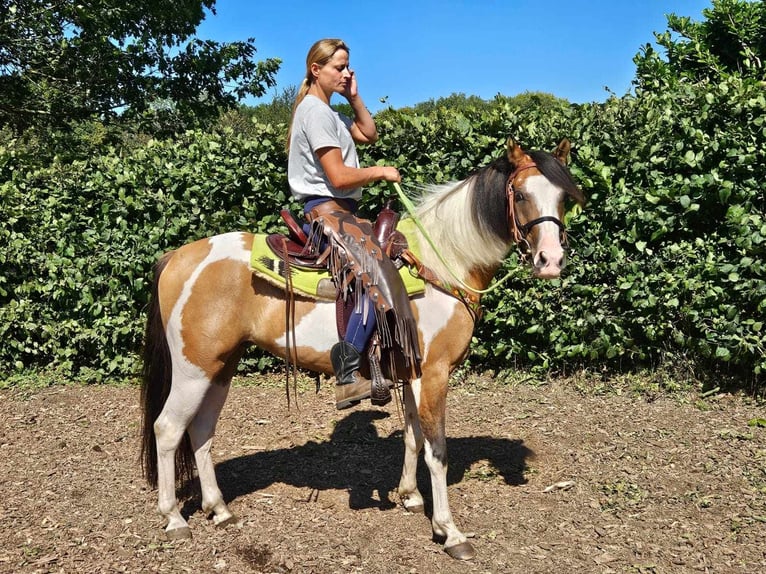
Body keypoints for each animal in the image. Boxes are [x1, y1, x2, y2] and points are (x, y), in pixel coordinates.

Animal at [141, 138, 584, 564]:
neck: (443, 261)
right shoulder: (434, 372)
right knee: (168, 429)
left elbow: (412, 437)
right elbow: (437, 450)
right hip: (193, 369)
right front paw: (450, 532)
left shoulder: (410, 373)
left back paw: (219, 509)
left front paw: (410, 496)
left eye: (563, 197)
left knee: (200, 430)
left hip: (221, 366)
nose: (550, 260)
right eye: (521, 194)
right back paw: (175, 518)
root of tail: (177, 257)